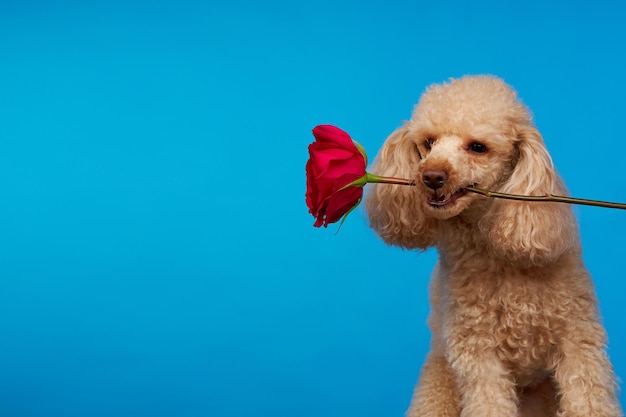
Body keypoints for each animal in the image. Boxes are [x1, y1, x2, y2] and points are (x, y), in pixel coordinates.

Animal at [366, 75, 620, 416]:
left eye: (477, 147)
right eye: (429, 143)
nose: (431, 176)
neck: (496, 253)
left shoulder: (578, 340)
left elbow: (588, 398)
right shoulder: (478, 353)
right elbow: (488, 401)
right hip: (439, 381)